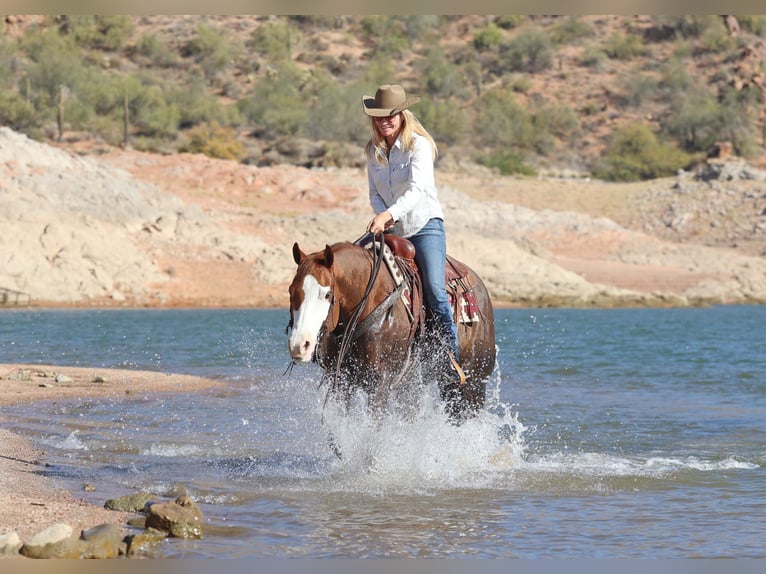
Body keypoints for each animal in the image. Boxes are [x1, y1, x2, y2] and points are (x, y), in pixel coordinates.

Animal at [288, 233, 498, 424]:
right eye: (291, 291)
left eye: (326, 294)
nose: (299, 346)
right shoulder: (341, 381)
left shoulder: (380, 383)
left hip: (474, 384)